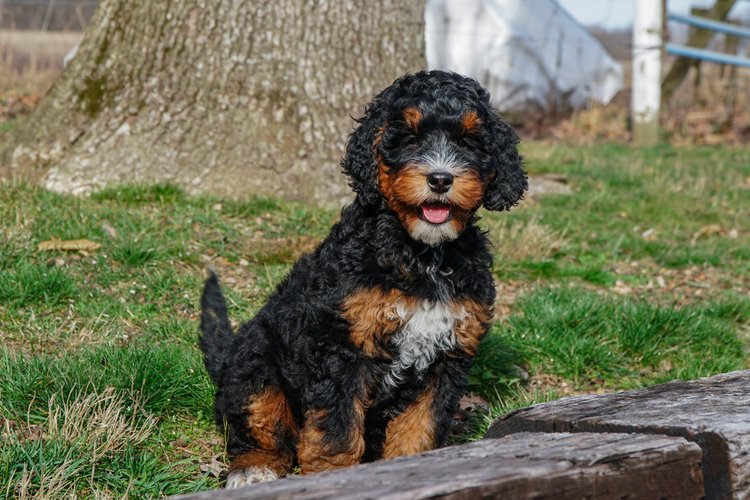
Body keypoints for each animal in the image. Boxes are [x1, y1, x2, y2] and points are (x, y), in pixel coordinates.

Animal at [200, 70, 528, 488]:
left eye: (467, 142)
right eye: (409, 138)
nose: (440, 179)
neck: (423, 255)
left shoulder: (447, 357)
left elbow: (419, 428)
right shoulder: (344, 349)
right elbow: (337, 431)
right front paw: (332, 478)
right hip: (257, 361)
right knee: (259, 421)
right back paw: (254, 469)